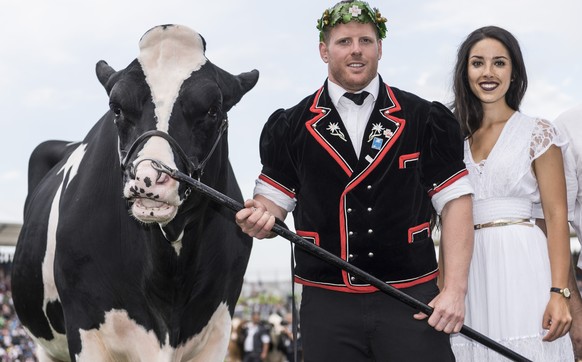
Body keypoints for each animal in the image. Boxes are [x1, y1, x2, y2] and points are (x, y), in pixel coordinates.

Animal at [10, 24, 258, 360]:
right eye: (117, 109)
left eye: (212, 109)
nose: (148, 177)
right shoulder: (86, 331)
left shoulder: (217, 330)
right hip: (44, 345)